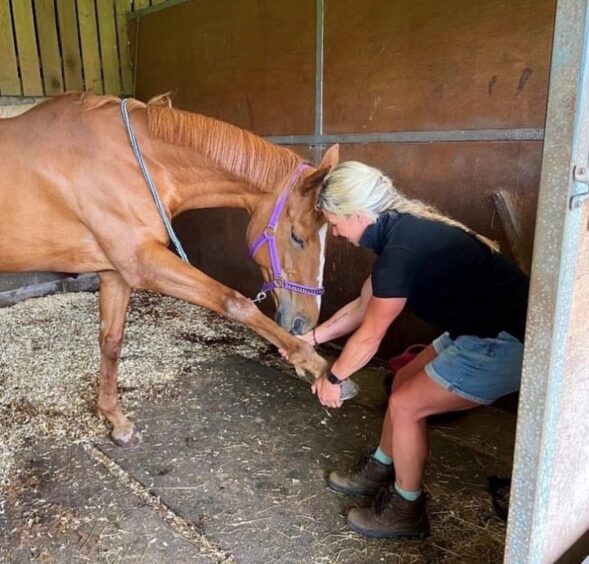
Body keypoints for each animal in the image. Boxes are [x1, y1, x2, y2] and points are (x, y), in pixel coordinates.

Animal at [0, 92, 336, 446]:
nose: (304, 321)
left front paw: (116, 419)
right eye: (298, 237)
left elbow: (111, 342)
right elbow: (234, 302)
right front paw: (312, 362)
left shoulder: (116, 273)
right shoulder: (143, 262)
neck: (129, 164)